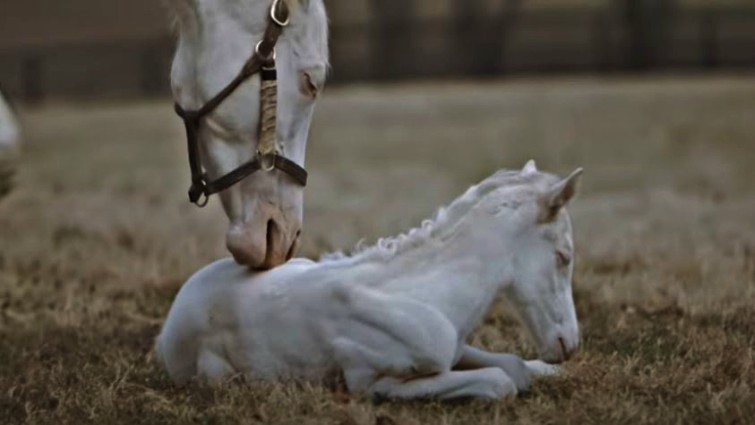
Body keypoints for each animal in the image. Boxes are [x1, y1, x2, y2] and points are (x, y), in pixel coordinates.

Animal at [157, 161, 584, 400]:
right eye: (564, 256)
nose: (570, 345)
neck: (425, 294)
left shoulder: (456, 345)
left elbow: (513, 365)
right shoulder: (369, 379)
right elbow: (501, 381)